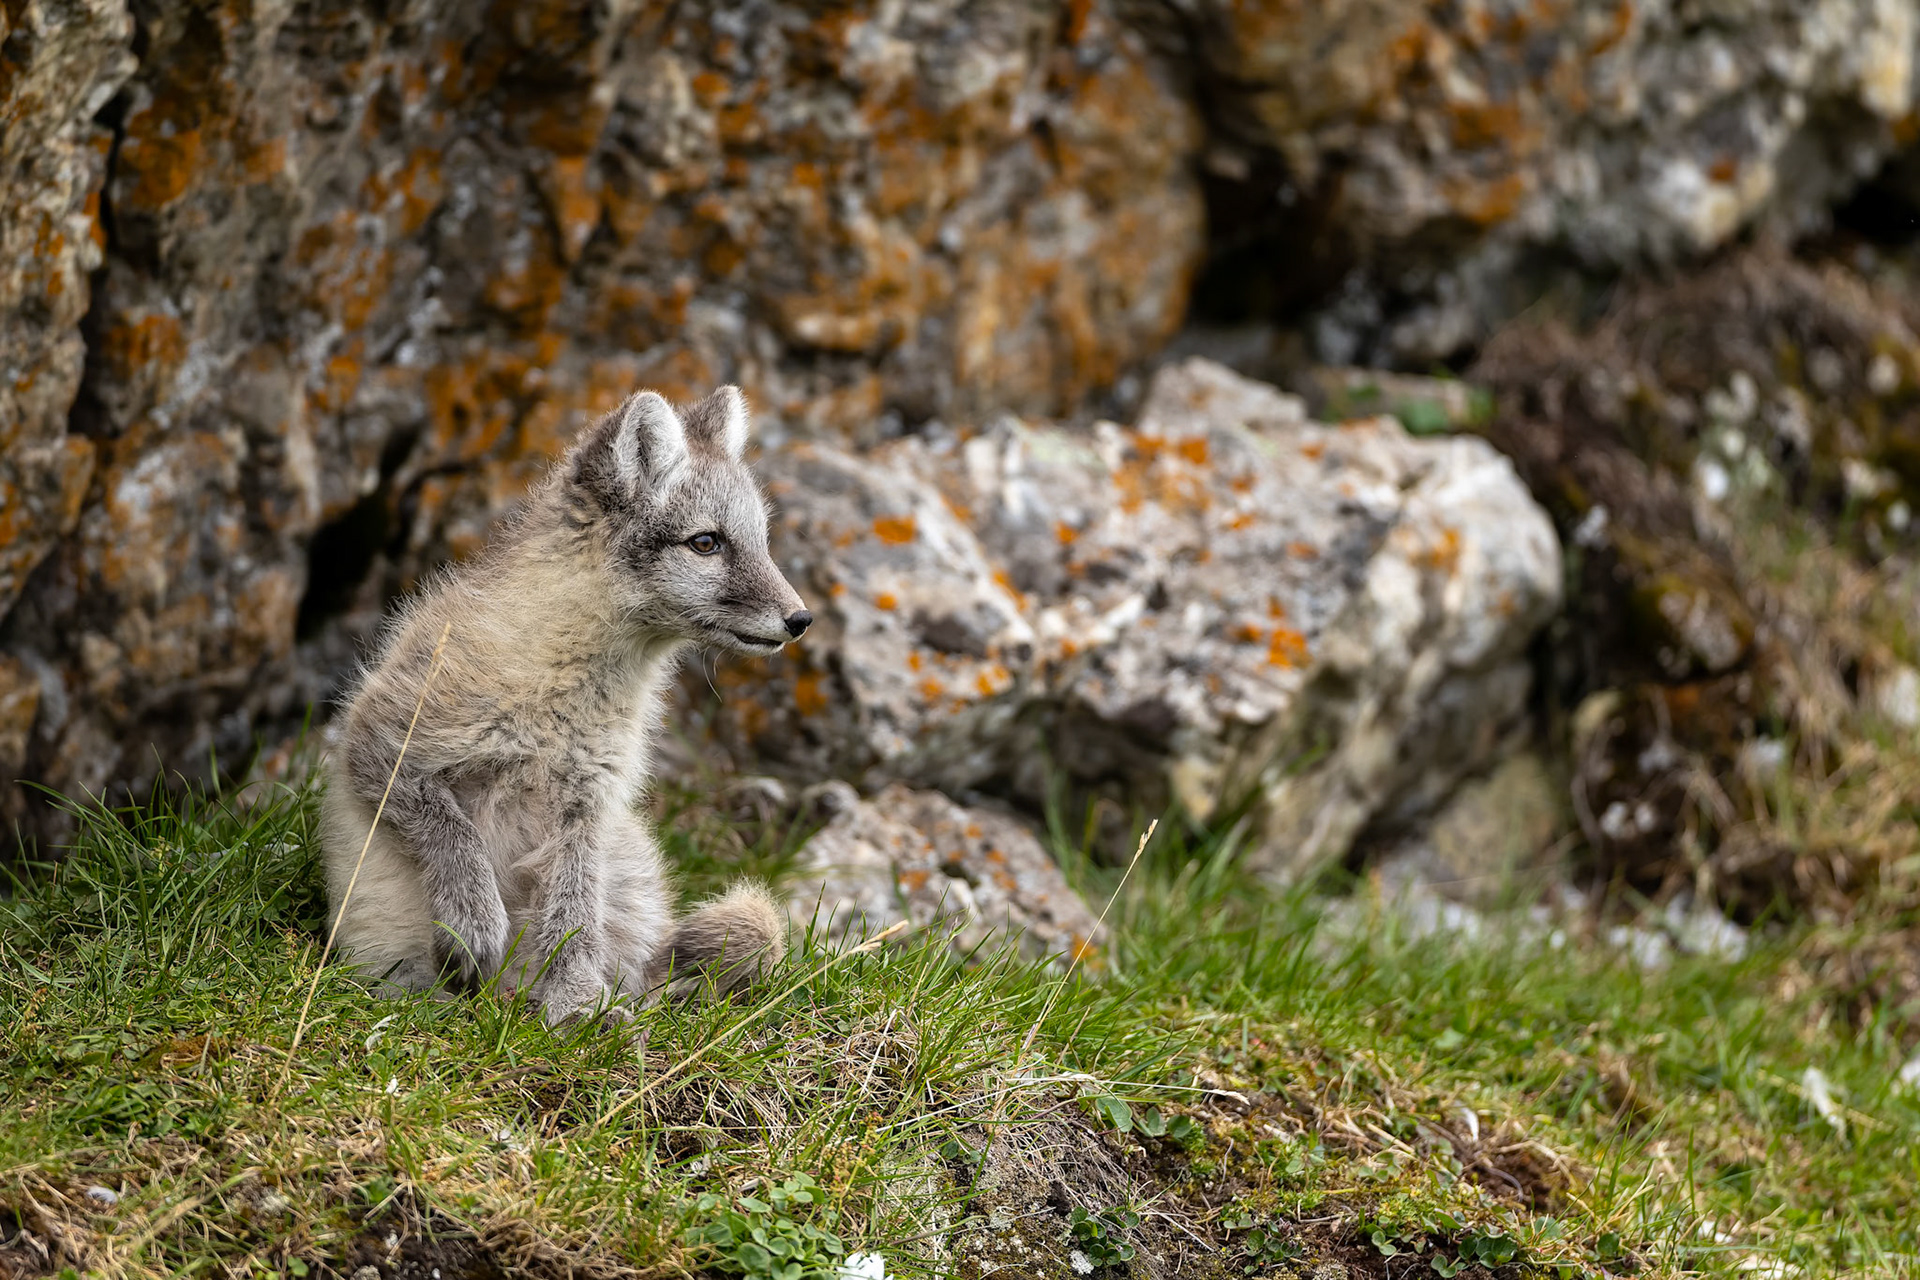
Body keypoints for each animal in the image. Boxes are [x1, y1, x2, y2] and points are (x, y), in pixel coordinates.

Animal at [319, 385, 810, 1024]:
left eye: (761, 542)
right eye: (706, 543)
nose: (802, 619)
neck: (561, 686)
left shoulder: (586, 802)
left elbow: (573, 915)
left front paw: (576, 1006)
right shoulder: (380, 744)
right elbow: (456, 839)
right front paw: (473, 929)